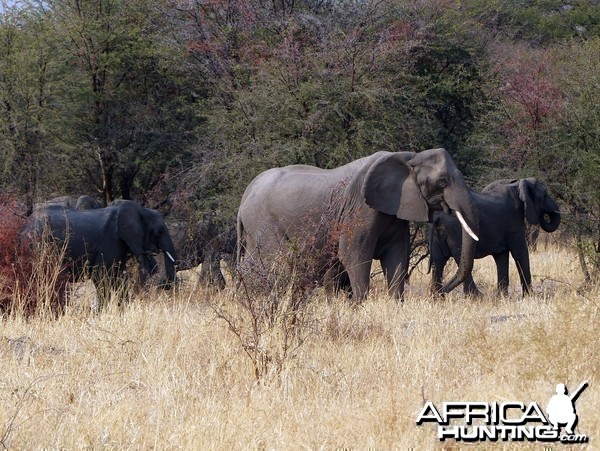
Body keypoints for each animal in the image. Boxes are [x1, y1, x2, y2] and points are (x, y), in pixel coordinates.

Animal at [237, 149, 480, 304]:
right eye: (442, 182)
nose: (438, 295)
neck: (408, 158)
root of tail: (245, 196)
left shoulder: (394, 209)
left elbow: (397, 255)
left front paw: (395, 304)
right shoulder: (360, 209)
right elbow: (354, 255)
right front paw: (358, 305)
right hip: (263, 223)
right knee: (273, 262)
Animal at [428, 177, 560, 296]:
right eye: (545, 195)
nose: (544, 215)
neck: (516, 184)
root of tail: (437, 216)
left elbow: (501, 256)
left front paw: (502, 297)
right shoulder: (514, 220)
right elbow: (520, 252)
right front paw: (529, 296)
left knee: (438, 262)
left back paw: (437, 297)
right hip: (457, 231)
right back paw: (475, 297)